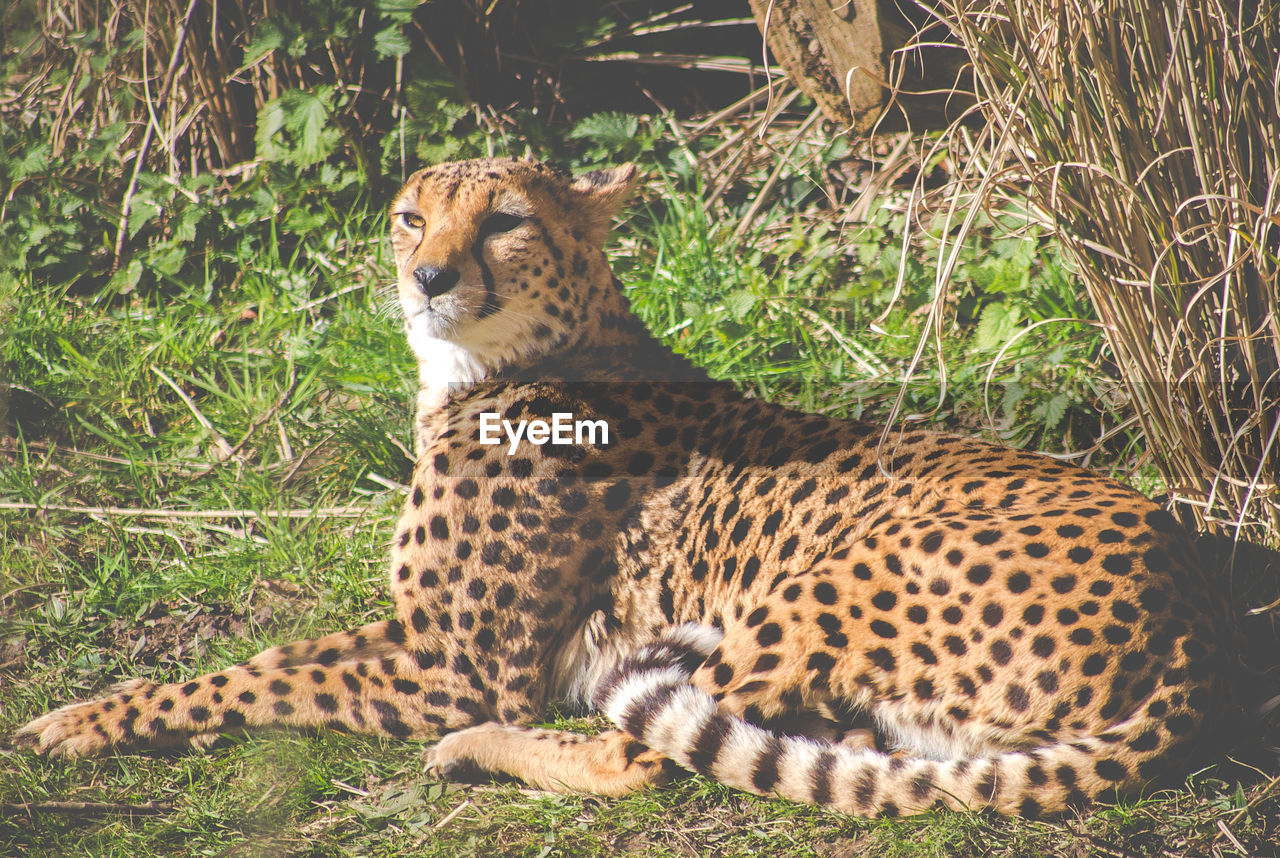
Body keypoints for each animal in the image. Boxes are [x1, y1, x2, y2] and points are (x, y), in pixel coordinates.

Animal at [12, 156, 1228, 819]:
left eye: (504, 220)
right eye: (413, 216)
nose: (428, 276)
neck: (496, 365)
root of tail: (1181, 592)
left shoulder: (456, 666)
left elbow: (249, 681)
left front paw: (88, 722)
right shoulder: (414, 631)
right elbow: (269, 661)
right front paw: (93, 707)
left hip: (814, 585)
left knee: (629, 749)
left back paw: (474, 753)